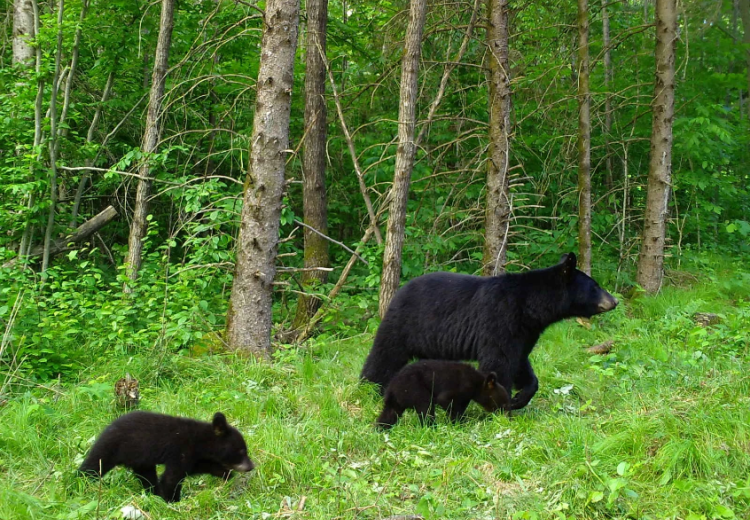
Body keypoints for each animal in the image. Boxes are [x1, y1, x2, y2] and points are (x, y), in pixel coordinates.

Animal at [79, 412, 256, 502]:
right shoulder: (180, 451)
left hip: (140, 460)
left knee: (147, 476)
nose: (251, 467)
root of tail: (107, 427)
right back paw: (80, 482)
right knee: (94, 465)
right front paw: (173, 501)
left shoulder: (194, 457)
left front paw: (227, 474)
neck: (200, 441)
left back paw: (153, 494)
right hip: (111, 447)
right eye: (241, 451)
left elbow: (200, 467)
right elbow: (171, 478)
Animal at [362, 253, 616, 410]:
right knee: (385, 355)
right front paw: (503, 405)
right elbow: (499, 362)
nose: (614, 301)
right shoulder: (501, 319)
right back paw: (370, 387)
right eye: (595, 286)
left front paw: (520, 398)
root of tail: (399, 290)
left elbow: (521, 363)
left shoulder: (524, 332)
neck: (530, 307)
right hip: (404, 324)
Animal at [376, 360, 512, 428]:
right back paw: (431, 427)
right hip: (415, 388)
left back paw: (380, 428)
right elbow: (445, 400)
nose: (508, 419)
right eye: (504, 405)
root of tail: (391, 388)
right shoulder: (460, 386)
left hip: (396, 401)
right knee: (426, 406)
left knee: (389, 414)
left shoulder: (465, 397)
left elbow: (461, 405)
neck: (476, 384)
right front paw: (458, 422)